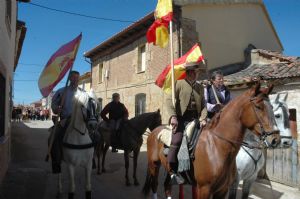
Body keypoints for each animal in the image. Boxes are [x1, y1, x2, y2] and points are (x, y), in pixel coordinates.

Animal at [143, 83, 282, 199]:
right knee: (154, 184)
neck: (216, 145)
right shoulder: (204, 189)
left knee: (167, 186)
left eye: (272, 107)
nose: (275, 139)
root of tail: (155, 131)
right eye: (258, 106)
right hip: (154, 165)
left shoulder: (222, 190)